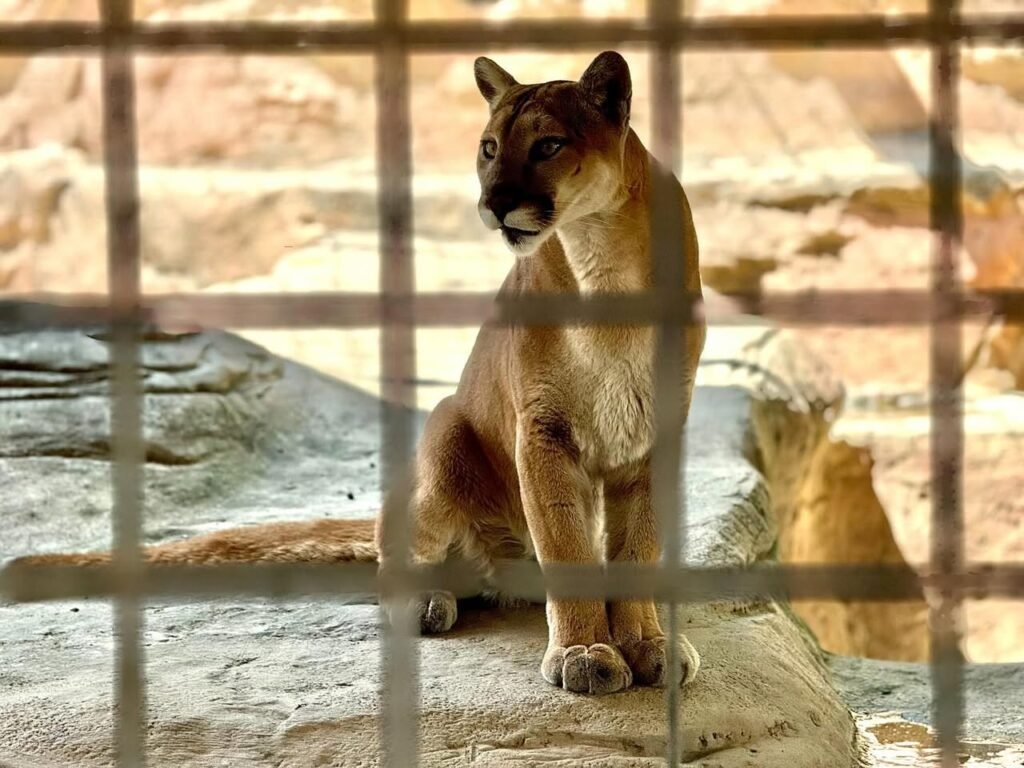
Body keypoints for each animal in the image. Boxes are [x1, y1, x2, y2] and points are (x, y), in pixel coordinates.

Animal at [11, 51, 705, 696]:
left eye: (549, 145)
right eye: (489, 149)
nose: (494, 204)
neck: (600, 259)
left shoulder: (655, 429)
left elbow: (638, 545)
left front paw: (647, 644)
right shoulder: (542, 429)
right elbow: (566, 543)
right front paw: (585, 655)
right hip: (445, 435)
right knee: (393, 553)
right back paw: (425, 603)